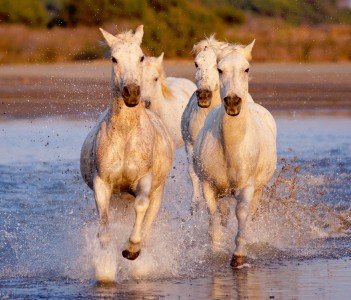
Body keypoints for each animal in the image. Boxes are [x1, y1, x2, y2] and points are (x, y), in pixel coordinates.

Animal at [79, 25, 174, 262]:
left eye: (141, 57)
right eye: (114, 58)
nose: (131, 93)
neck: (125, 136)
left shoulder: (144, 180)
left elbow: (141, 207)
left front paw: (131, 248)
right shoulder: (102, 184)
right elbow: (104, 223)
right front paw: (106, 257)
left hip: (157, 192)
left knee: (148, 220)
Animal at [182, 35, 256, 213]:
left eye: (216, 67)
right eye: (196, 63)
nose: (204, 95)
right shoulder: (191, 144)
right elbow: (194, 173)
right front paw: (195, 205)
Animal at [192, 41, 278, 268]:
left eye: (246, 69)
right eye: (220, 69)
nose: (232, 102)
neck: (231, 148)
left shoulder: (247, 186)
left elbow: (242, 215)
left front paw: (238, 256)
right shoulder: (208, 186)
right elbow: (214, 218)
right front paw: (215, 252)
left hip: (258, 189)